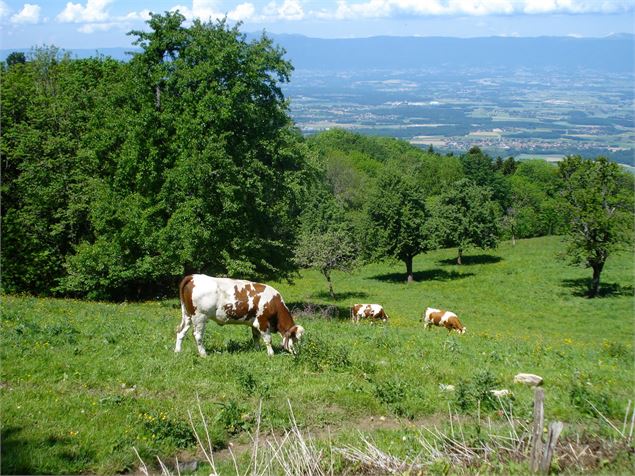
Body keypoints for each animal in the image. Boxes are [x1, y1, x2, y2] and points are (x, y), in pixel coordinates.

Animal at [173, 274, 304, 356]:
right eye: (295, 339)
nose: (297, 354)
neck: (274, 303)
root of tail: (193, 277)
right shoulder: (262, 321)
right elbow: (268, 339)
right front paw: (271, 354)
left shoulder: (254, 322)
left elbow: (256, 337)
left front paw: (257, 350)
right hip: (200, 316)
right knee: (198, 335)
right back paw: (203, 354)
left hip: (187, 315)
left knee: (180, 331)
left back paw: (177, 351)